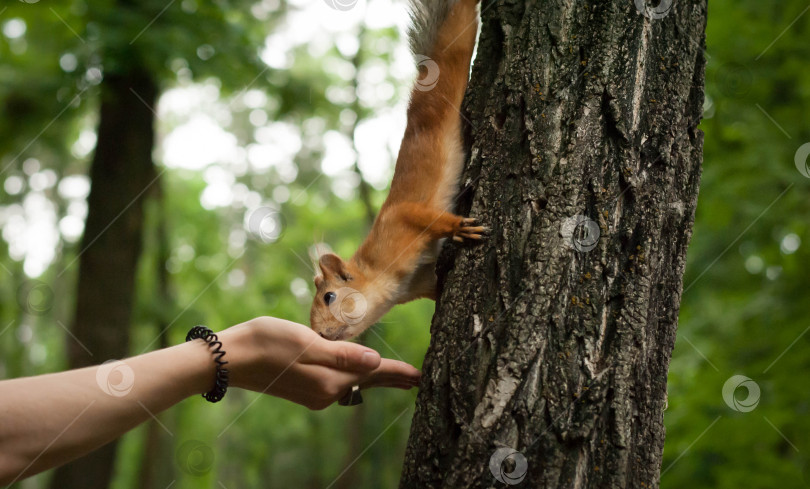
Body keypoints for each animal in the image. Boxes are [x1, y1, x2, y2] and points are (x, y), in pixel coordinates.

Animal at [310, 0, 482, 340]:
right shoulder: (420, 282)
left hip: (453, 63)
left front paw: (459, 227)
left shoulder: (400, 221)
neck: (381, 277)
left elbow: (425, 217)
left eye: (329, 296)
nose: (318, 334)